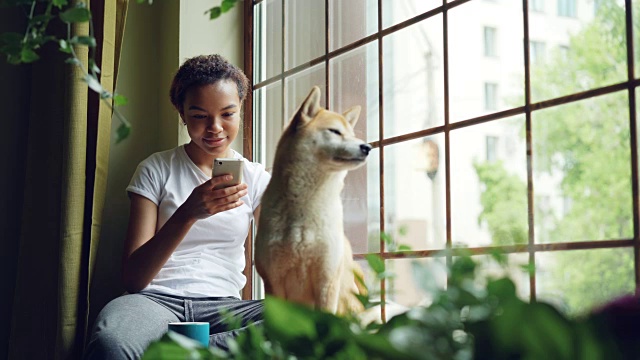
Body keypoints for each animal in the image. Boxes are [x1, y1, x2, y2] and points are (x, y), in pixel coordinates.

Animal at [256, 85, 370, 316]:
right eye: (335, 131)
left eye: (352, 135)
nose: (367, 147)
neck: (305, 204)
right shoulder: (273, 281)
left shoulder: (326, 280)